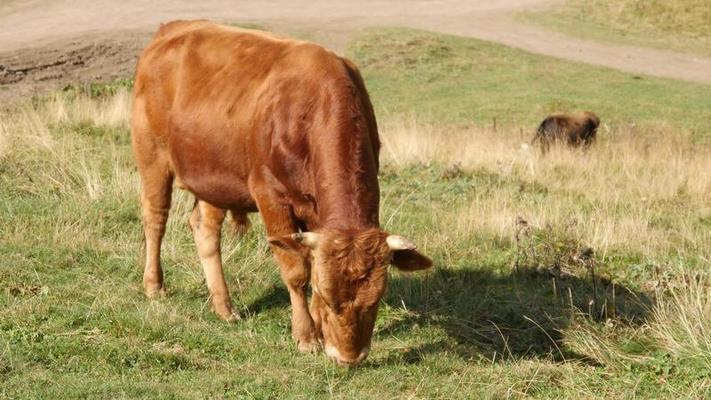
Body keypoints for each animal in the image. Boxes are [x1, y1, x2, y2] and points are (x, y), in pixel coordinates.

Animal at [133, 21, 434, 366]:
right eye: (328, 296)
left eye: (376, 299)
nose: (349, 357)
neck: (314, 108)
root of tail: (175, 27)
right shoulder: (271, 197)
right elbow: (296, 271)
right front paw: (306, 336)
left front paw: (318, 328)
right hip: (152, 155)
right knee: (155, 219)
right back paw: (154, 286)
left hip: (213, 176)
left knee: (205, 230)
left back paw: (224, 307)